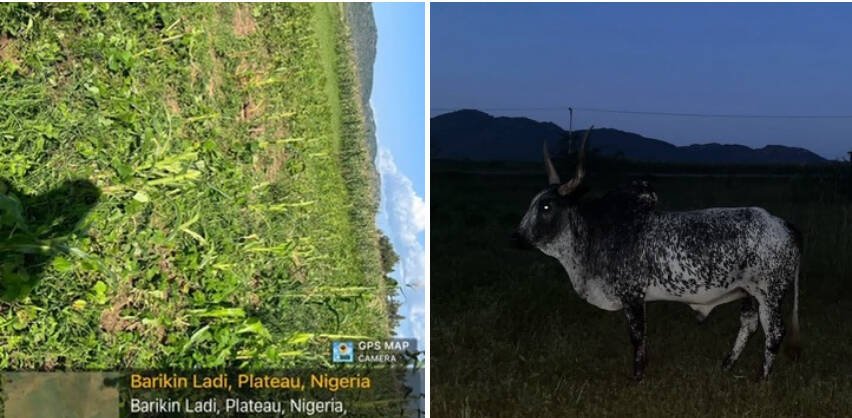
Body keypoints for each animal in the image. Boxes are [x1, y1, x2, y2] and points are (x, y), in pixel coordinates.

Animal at [514, 129, 801, 380]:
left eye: (546, 206)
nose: (516, 237)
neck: (596, 233)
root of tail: (783, 224)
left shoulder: (632, 296)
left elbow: (637, 337)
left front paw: (637, 376)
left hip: (769, 294)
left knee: (774, 332)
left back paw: (762, 377)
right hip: (748, 293)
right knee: (749, 325)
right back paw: (727, 365)